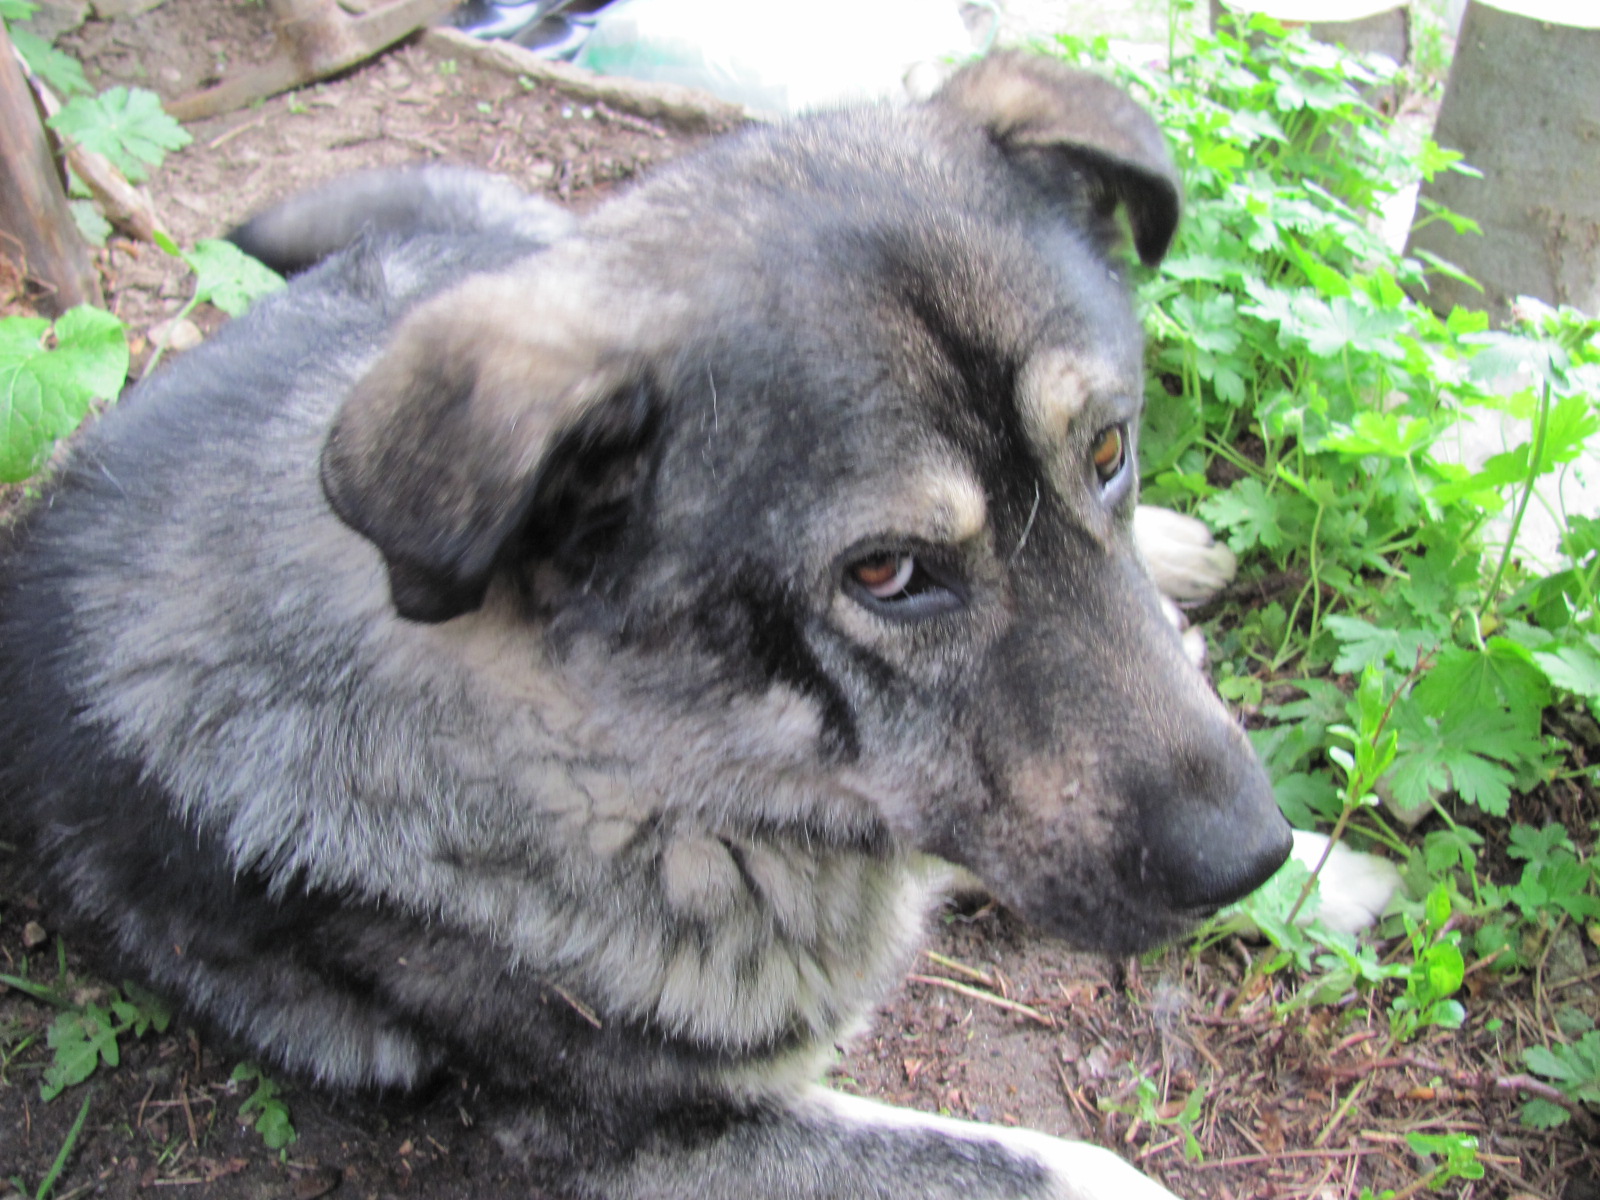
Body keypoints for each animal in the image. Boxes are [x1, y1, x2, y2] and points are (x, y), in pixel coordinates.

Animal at [0, 52, 1291, 1200]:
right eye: (885, 572)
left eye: (1109, 449)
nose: (1250, 855)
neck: (640, 772)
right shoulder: (660, 1141)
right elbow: (1072, 1168)